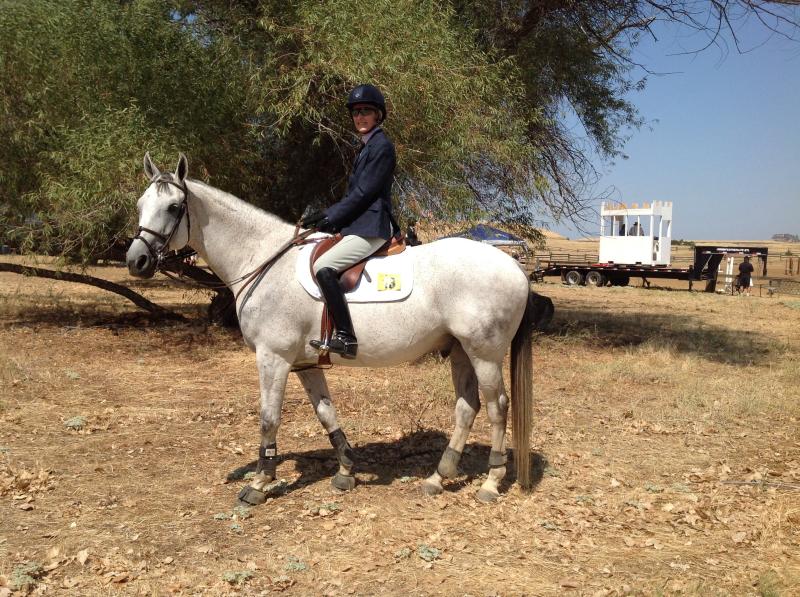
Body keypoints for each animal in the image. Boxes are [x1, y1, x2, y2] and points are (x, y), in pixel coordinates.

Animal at [126, 153, 547, 504]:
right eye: (140, 206)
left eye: (174, 207)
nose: (137, 260)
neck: (264, 260)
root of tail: (515, 267)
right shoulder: (304, 363)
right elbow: (325, 413)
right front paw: (346, 469)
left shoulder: (273, 358)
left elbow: (268, 418)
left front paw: (260, 483)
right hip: (459, 349)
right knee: (466, 407)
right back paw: (437, 478)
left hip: (484, 352)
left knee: (496, 406)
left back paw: (491, 482)